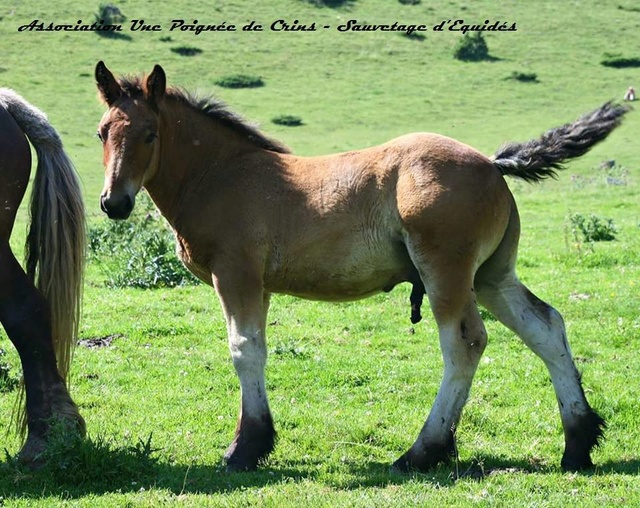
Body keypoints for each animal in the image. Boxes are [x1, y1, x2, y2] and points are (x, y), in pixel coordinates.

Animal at [96, 62, 632, 472]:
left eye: (150, 134)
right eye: (102, 132)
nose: (114, 203)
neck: (222, 175)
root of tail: (492, 162)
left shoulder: (237, 276)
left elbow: (245, 351)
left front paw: (245, 448)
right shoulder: (258, 285)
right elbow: (256, 350)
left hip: (447, 272)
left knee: (465, 343)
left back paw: (423, 452)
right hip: (492, 276)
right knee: (546, 327)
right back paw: (578, 443)